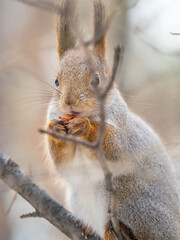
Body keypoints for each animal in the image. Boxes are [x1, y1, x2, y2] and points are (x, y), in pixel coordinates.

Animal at [45, 0, 179, 240]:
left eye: (97, 79)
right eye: (56, 81)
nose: (69, 102)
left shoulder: (123, 132)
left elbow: (115, 149)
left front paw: (86, 128)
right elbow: (64, 165)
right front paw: (55, 130)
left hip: (134, 203)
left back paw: (118, 230)